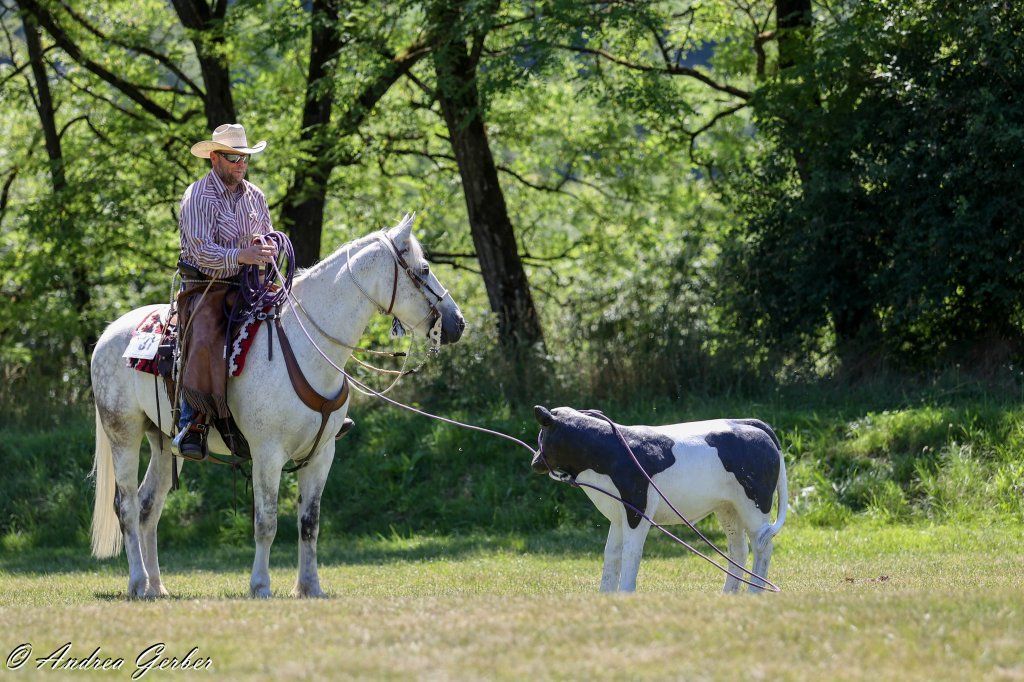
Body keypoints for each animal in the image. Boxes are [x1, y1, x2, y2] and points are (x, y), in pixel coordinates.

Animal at [89, 216, 465, 599]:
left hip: (164, 442)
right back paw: (137, 582)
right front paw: (260, 585)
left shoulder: (321, 454)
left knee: (148, 506)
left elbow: (310, 523)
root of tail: (109, 332)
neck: (306, 347)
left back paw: (156, 586)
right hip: (123, 433)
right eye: (424, 268)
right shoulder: (267, 454)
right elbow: (266, 521)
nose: (458, 322)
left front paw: (310, 586)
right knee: (127, 507)